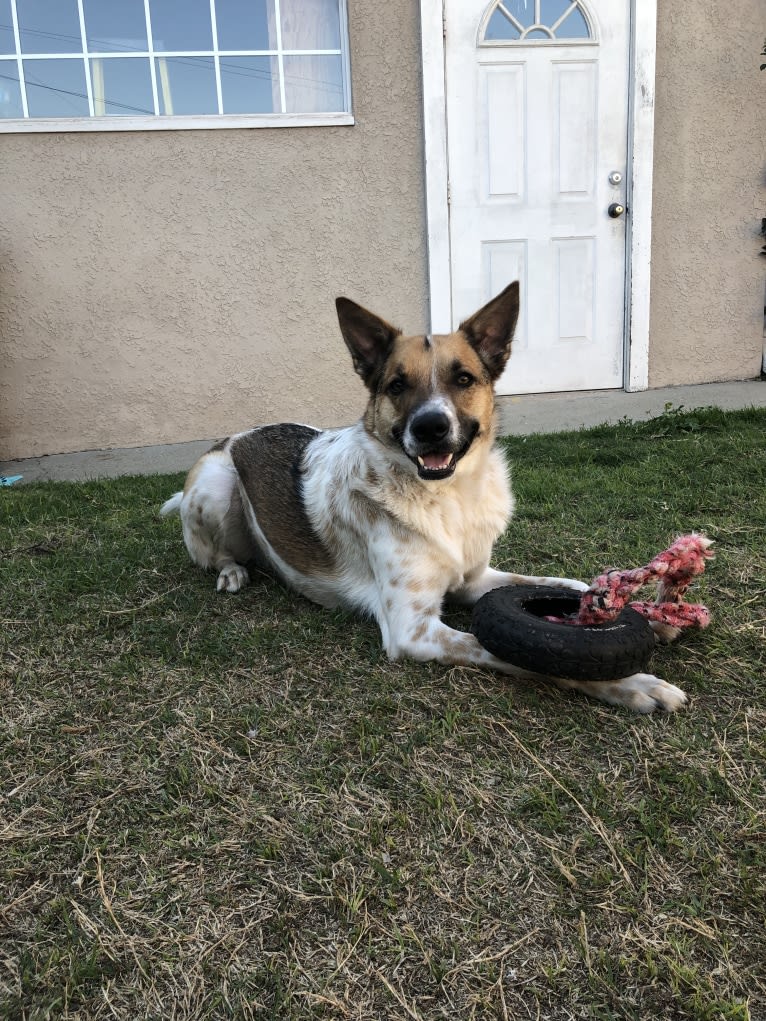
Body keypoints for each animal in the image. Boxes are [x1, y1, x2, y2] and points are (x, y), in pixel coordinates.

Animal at [162, 279, 690, 710]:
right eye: (397, 385)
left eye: (464, 379)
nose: (431, 427)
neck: (447, 499)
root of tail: (237, 436)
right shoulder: (412, 630)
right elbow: (523, 654)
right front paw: (634, 684)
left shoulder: (476, 579)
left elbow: (566, 584)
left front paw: (648, 612)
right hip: (215, 488)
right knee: (214, 552)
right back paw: (232, 570)